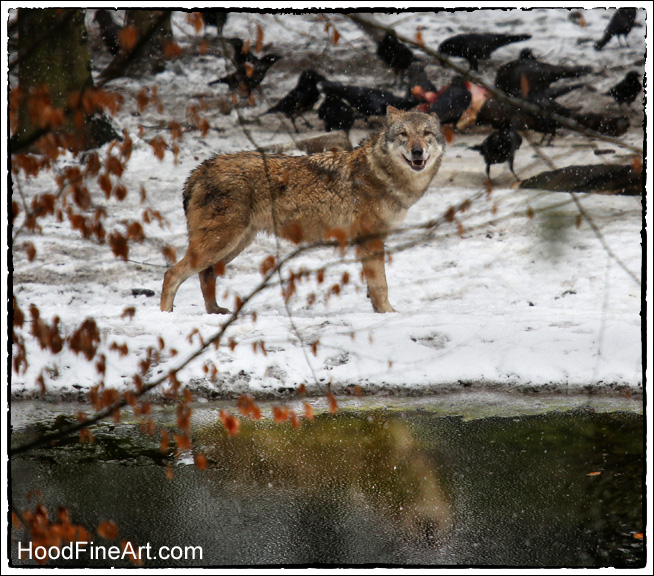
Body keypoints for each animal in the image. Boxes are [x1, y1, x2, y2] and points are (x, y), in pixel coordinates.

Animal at [160, 106, 445, 314]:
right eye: (404, 134)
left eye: (426, 133)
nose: (417, 151)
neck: (379, 172)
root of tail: (197, 172)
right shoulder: (371, 239)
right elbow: (380, 286)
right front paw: (388, 313)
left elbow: (372, 288)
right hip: (221, 244)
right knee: (172, 273)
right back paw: (166, 314)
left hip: (234, 245)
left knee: (204, 275)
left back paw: (215, 312)